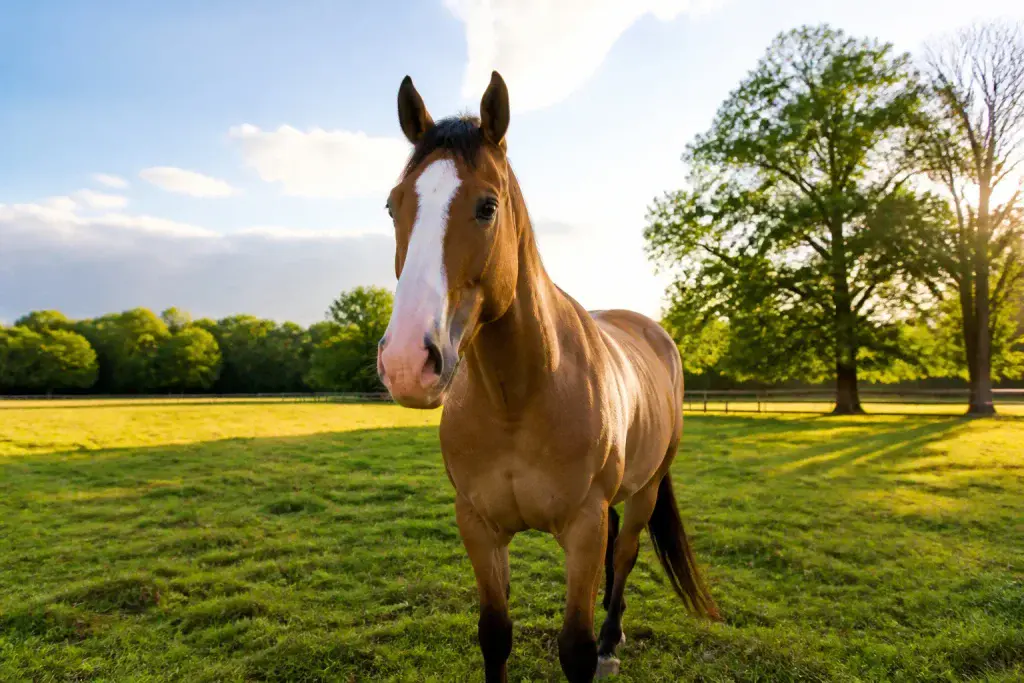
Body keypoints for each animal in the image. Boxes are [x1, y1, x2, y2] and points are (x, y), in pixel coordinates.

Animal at [376, 70, 720, 683]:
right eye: (394, 207)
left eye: (487, 206)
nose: (407, 363)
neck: (519, 396)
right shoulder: (478, 525)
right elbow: (494, 635)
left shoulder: (583, 527)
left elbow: (575, 649)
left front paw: (596, 646)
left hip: (646, 490)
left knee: (624, 555)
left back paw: (612, 638)